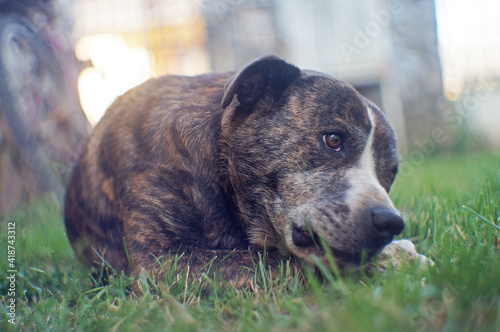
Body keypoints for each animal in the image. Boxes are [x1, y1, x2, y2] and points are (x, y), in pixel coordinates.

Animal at [63, 54, 430, 286]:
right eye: (333, 139)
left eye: (390, 174)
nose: (390, 222)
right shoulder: (161, 261)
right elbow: (280, 262)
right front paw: (391, 264)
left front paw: (399, 253)